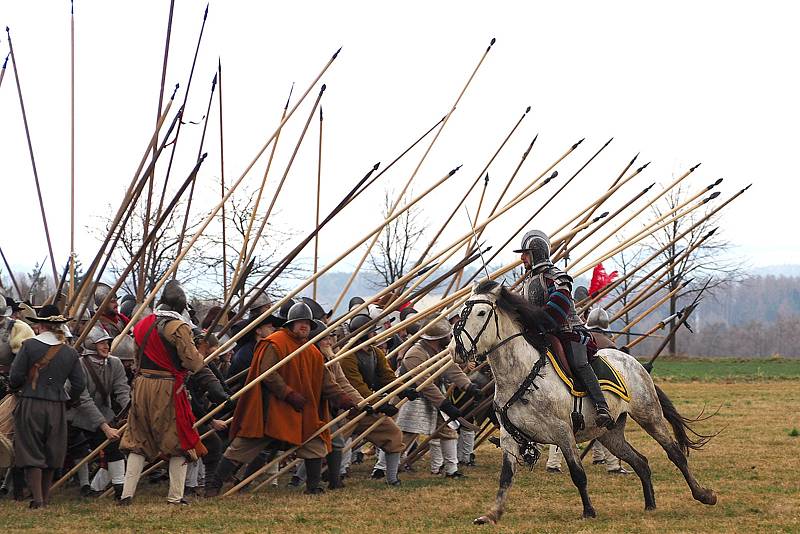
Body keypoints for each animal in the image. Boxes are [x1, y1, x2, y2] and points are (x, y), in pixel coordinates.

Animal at [450, 282, 720, 524]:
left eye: (481, 313)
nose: (456, 350)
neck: (522, 373)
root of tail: (635, 363)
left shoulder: (563, 432)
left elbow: (578, 474)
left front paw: (589, 511)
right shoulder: (509, 436)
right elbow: (506, 477)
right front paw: (491, 514)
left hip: (649, 416)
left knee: (675, 454)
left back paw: (703, 495)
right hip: (609, 433)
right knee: (640, 461)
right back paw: (650, 504)